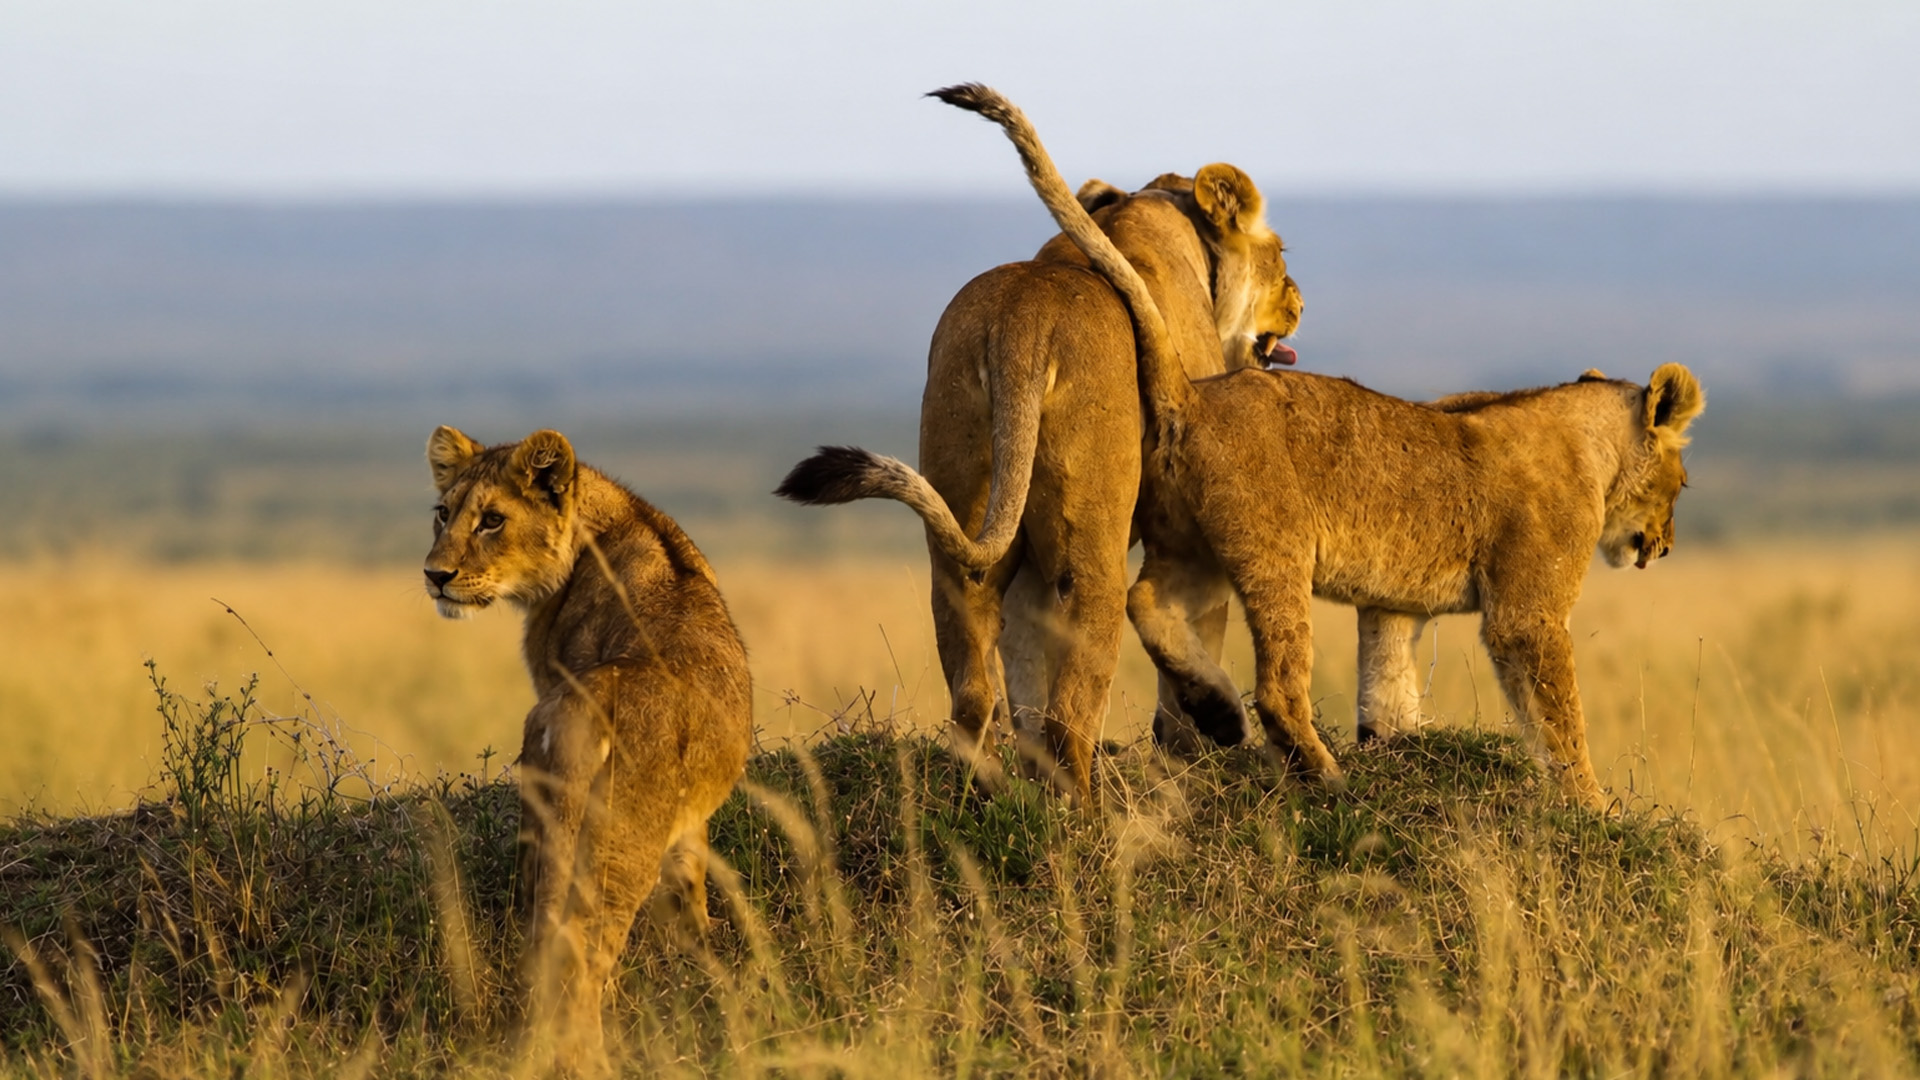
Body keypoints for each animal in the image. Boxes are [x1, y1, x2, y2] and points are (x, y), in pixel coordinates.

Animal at [423, 426, 752, 1066]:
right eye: (443, 514)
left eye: (492, 520)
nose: (435, 575)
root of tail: (585, 710)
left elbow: (691, 882)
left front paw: (698, 957)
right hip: (617, 850)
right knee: (583, 956)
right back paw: (591, 1058)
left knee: (551, 947)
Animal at [777, 83, 1301, 802]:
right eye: (1282, 257)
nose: (1299, 302)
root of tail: (1021, 325)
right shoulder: (1186, 523)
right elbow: (1194, 633)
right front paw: (1201, 739)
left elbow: (1026, 665)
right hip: (1093, 547)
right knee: (1070, 708)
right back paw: (1081, 807)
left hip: (966, 509)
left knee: (976, 686)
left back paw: (984, 795)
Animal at [1008, 155, 1704, 807]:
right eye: (1682, 484)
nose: (1667, 545)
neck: (1592, 445)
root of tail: (1194, 393)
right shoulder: (1526, 615)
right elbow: (1561, 723)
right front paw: (1592, 806)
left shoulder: (1393, 606)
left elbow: (1388, 687)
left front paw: (1396, 750)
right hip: (1275, 550)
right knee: (1276, 685)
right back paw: (1321, 773)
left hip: (1193, 547)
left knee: (1147, 601)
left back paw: (1217, 711)